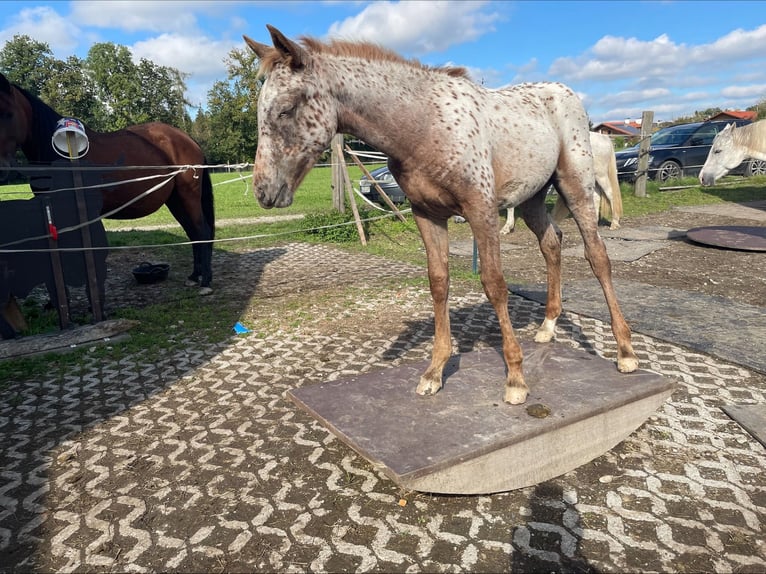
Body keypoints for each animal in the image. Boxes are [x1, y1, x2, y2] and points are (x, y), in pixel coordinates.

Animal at [246, 25, 640, 404]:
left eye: (286, 108)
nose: (264, 192)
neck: (422, 127)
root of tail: (567, 94)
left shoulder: (481, 210)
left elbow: (494, 285)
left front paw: (515, 378)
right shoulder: (427, 214)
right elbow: (438, 283)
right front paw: (434, 371)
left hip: (576, 187)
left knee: (597, 255)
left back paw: (625, 351)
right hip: (531, 199)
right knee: (552, 244)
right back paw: (547, 326)